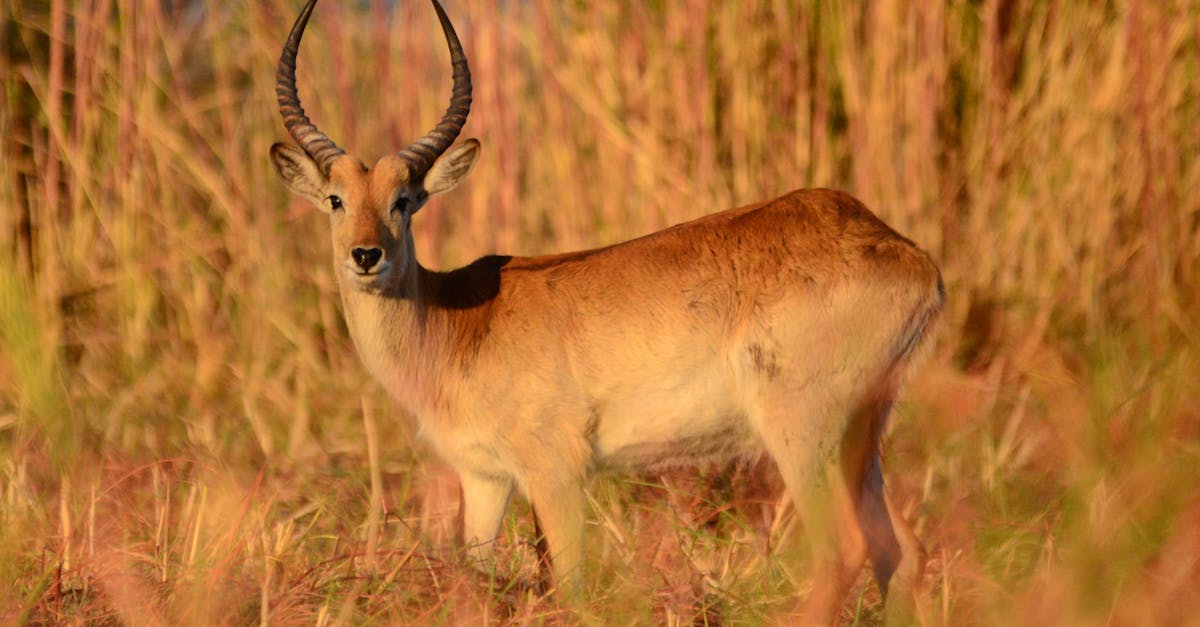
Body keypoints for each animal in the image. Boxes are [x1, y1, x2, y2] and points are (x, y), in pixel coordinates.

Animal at [270, 0, 936, 614]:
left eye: (404, 199)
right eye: (335, 198)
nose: (366, 255)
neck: (459, 323)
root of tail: (909, 255)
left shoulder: (556, 471)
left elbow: (570, 587)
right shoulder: (484, 477)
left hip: (803, 430)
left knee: (844, 549)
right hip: (860, 435)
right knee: (900, 552)